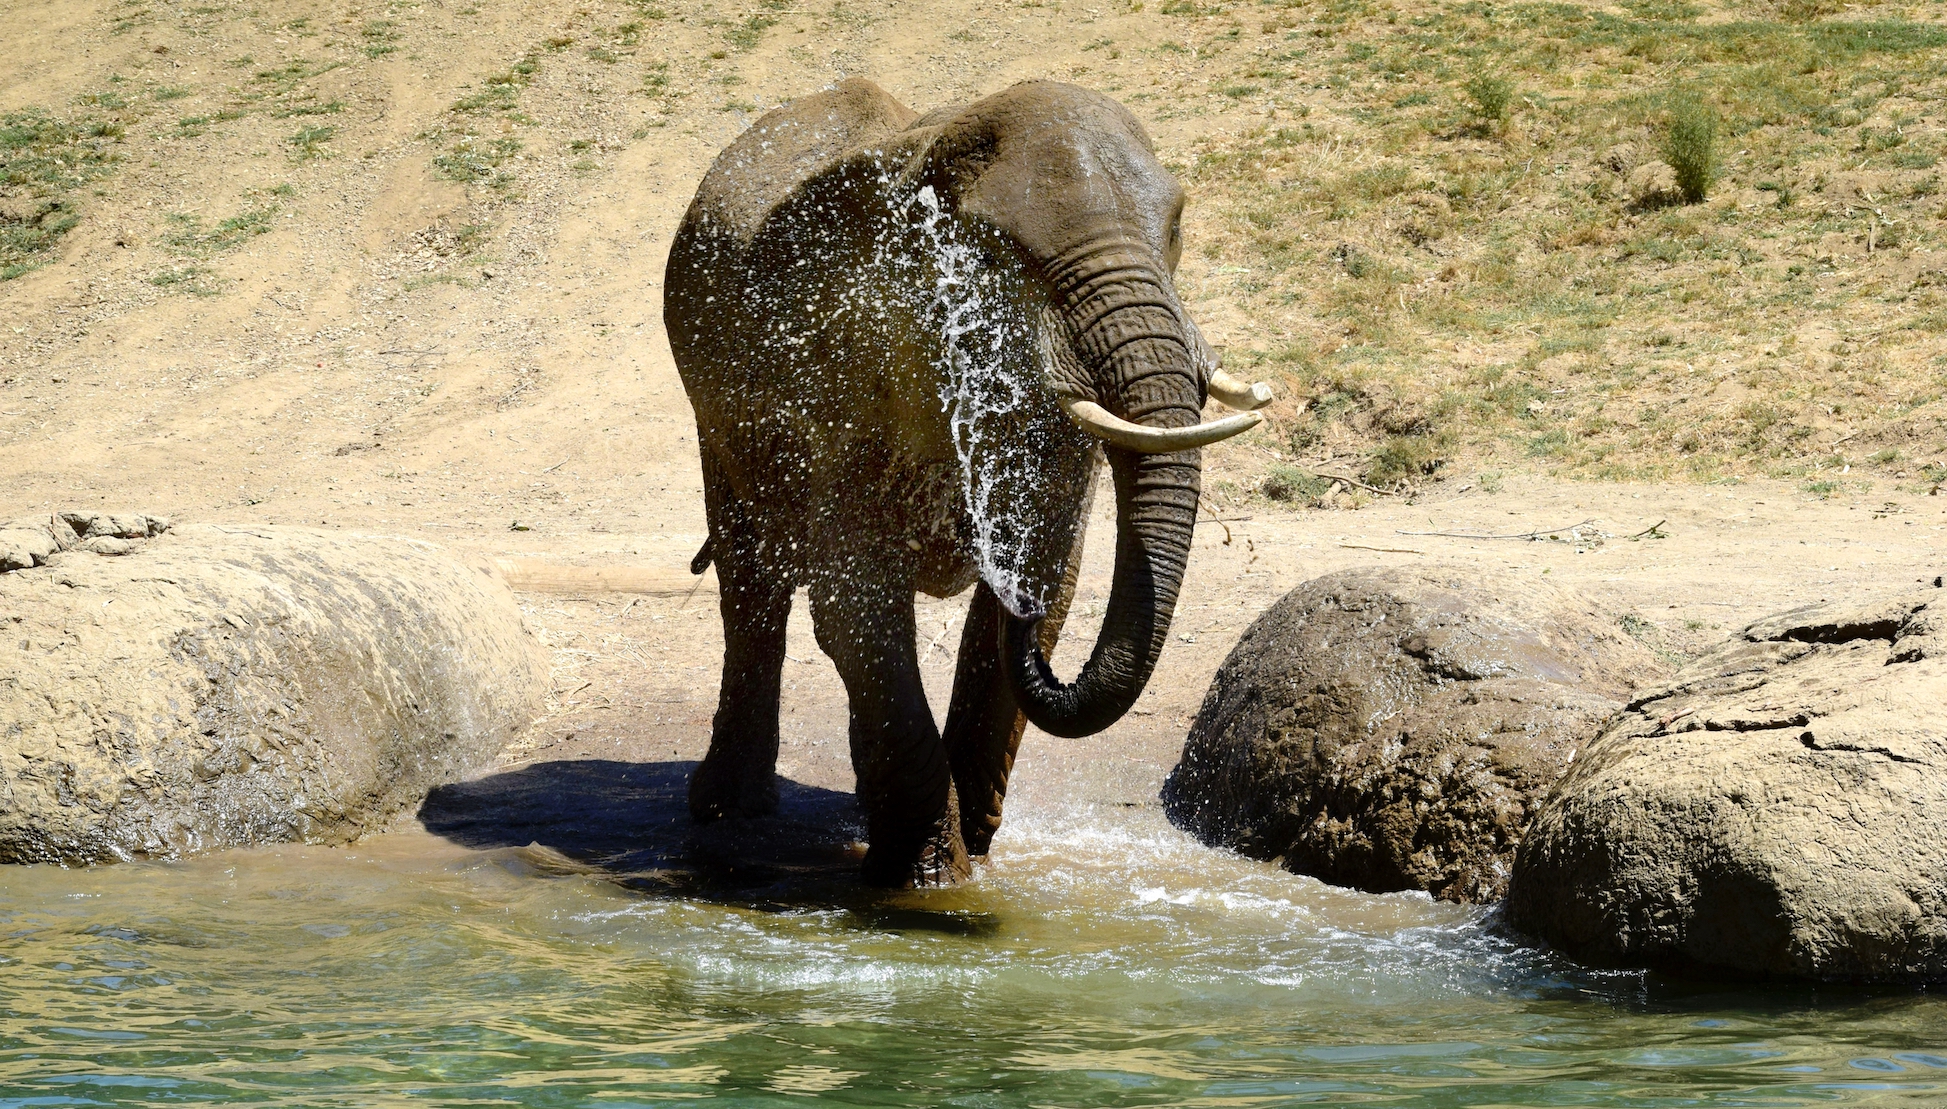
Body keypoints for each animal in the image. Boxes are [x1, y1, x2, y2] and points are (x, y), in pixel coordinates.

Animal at [662, 78, 1271, 888]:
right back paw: (730, 810)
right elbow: (855, 604)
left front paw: (969, 854)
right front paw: (928, 881)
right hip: (714, 405)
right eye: (999, 250)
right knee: (751, 579)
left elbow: (1047, 585)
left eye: (1174, 227)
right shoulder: (843, 376)